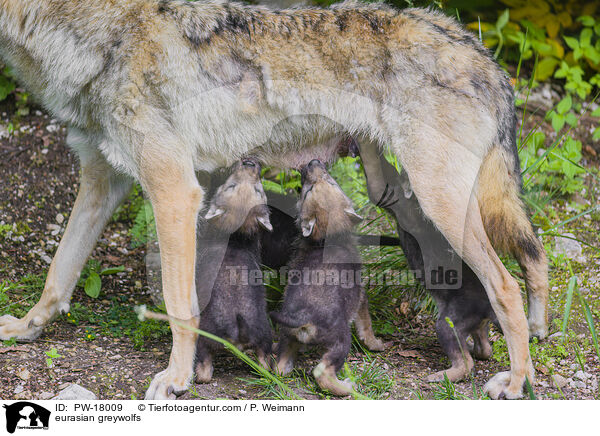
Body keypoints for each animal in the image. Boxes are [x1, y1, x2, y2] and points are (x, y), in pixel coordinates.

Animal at [0, 0, 548, 398]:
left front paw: (175, 378)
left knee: (506, 287)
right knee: (532, 257)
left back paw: (518, 380)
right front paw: (26, 328)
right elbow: (58, 274)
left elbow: (180, 305)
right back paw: (535, 333)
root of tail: (480, 52)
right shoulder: (102, 181)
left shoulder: (174, 192)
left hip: (441, 203)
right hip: (397, 190)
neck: (100, 35)